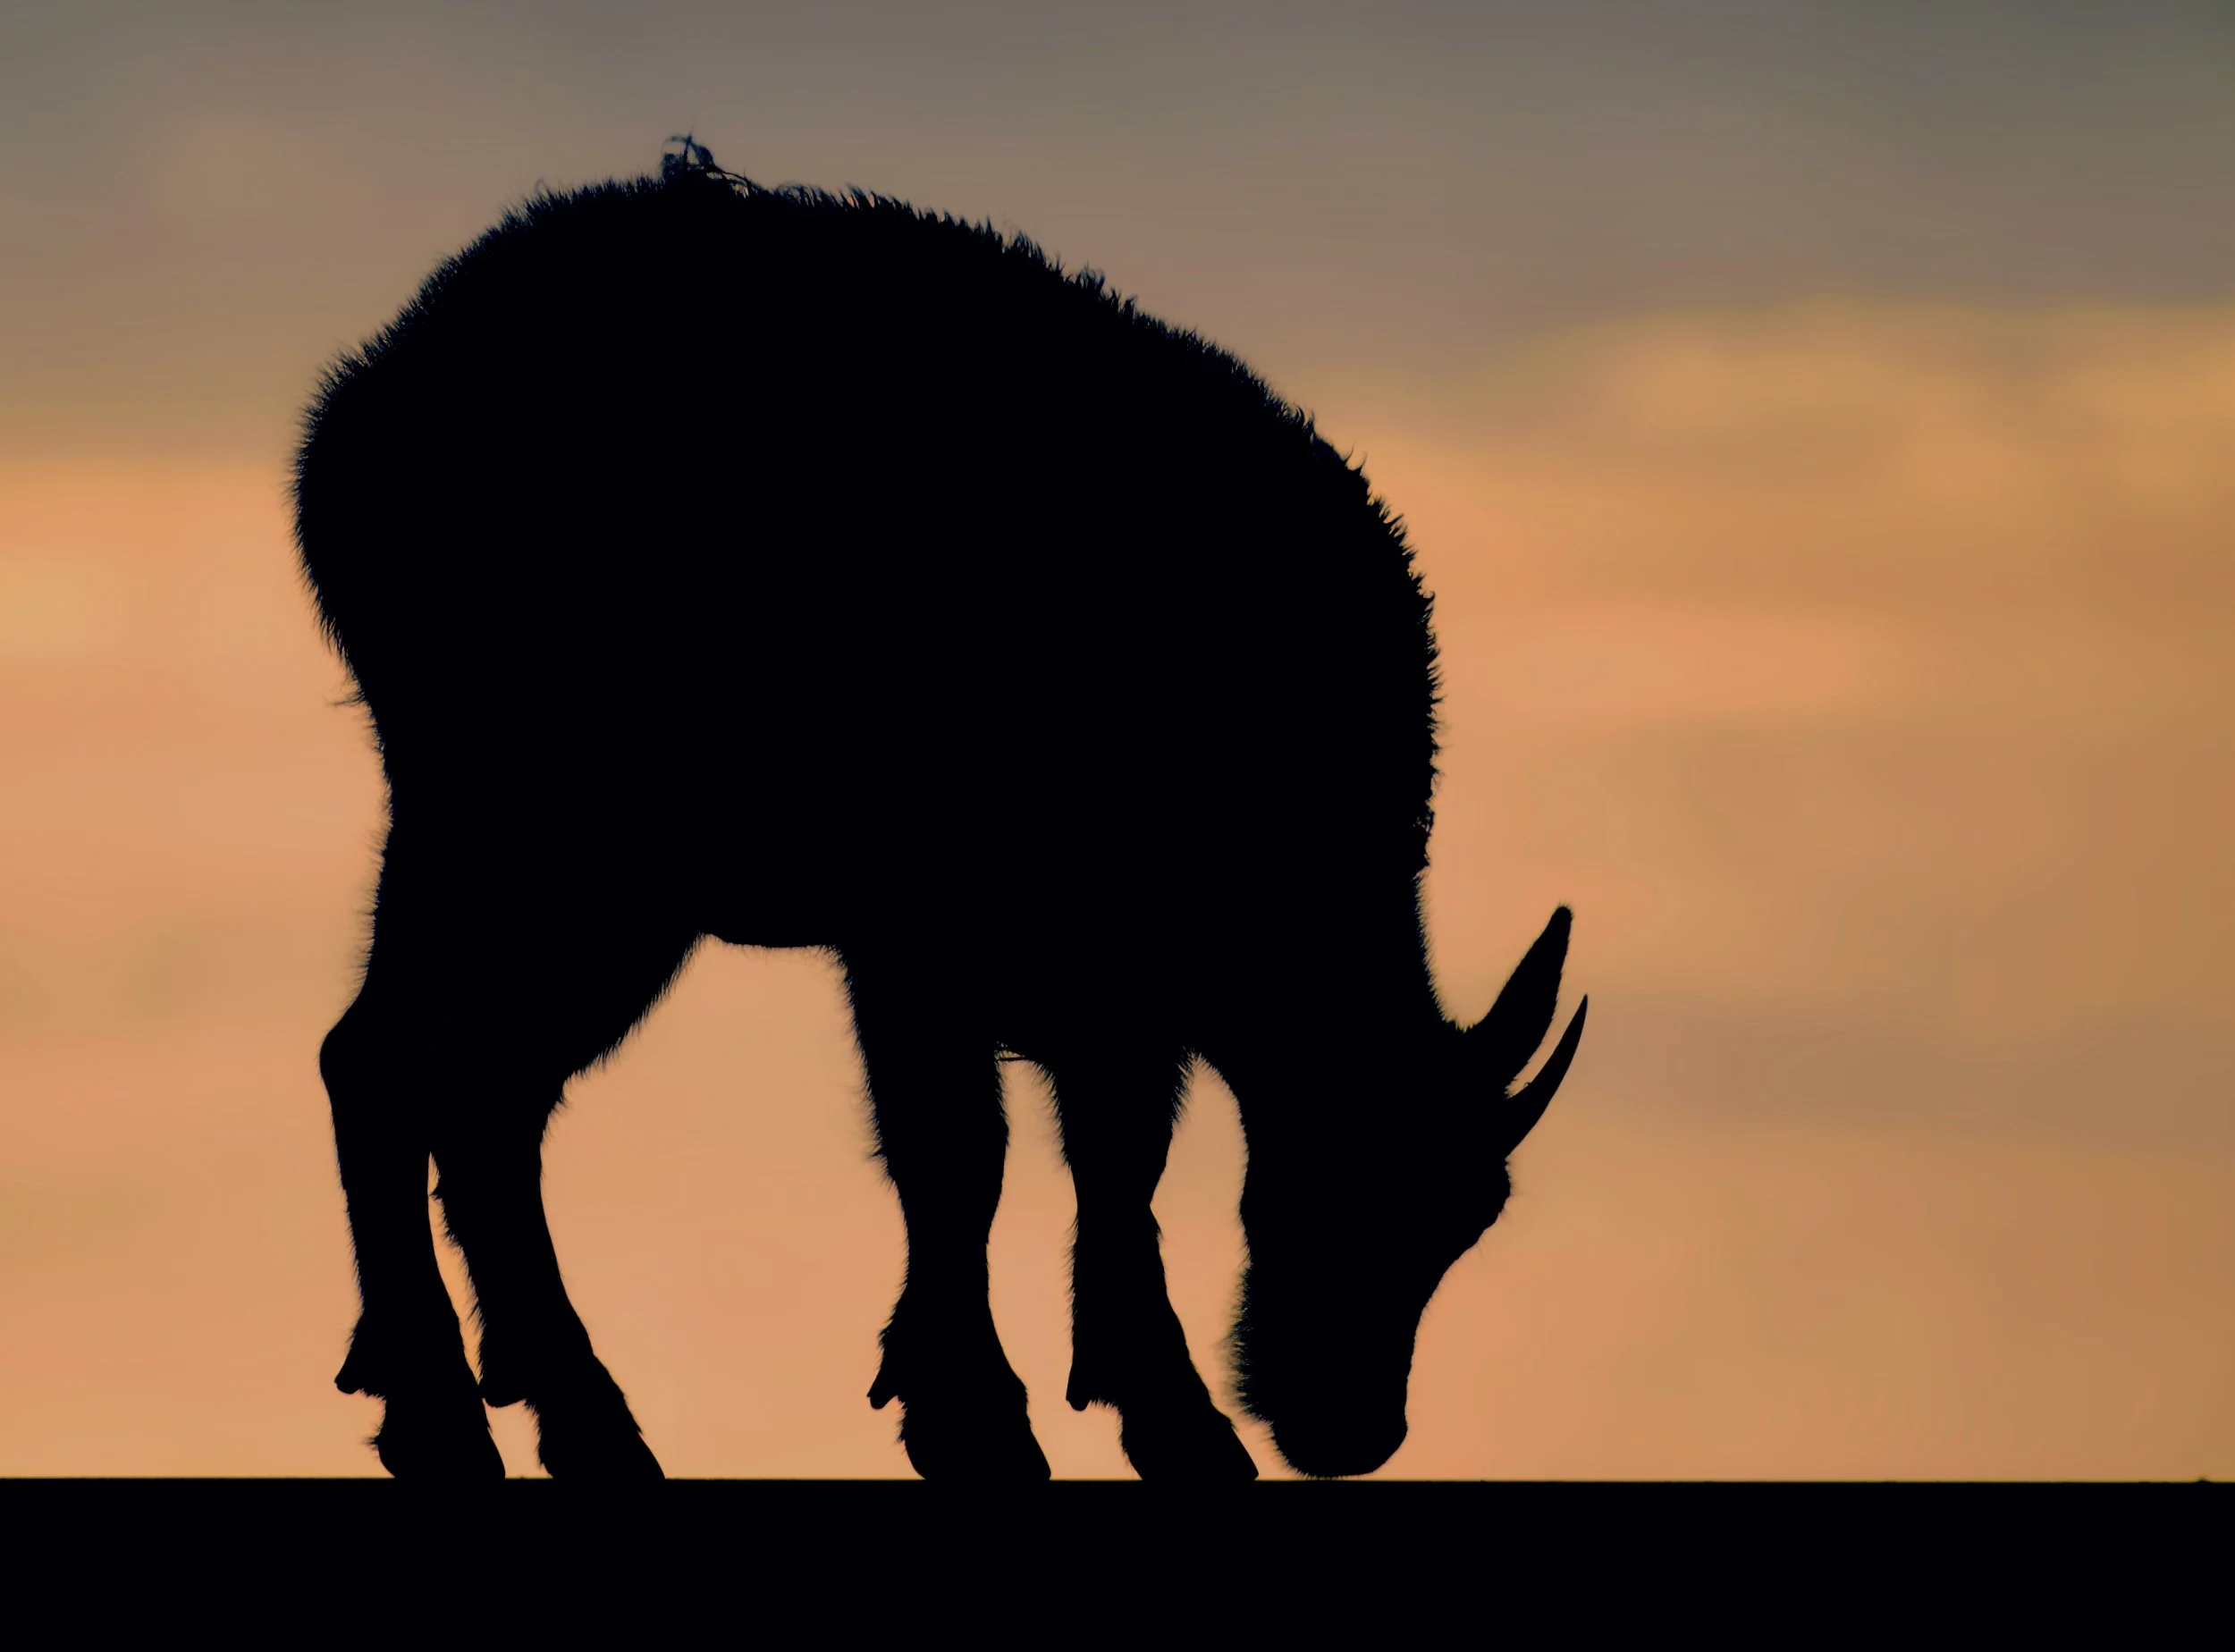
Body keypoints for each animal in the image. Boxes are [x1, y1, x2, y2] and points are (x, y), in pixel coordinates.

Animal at [295, 157, 1586, 1480]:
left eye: (1469, 1214)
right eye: (1332, 1154)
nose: (1354, 1425)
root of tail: (365, 401)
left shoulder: (1115, 1006)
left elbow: (1117, 1166)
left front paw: (1163, 1410)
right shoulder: (912, 945)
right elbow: (960, 1160)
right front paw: (973, 1412)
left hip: (614, 900)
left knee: (483, 1094)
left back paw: (577, 1417)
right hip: (509, 833)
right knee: (380, 1062)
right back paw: (442, 1410)